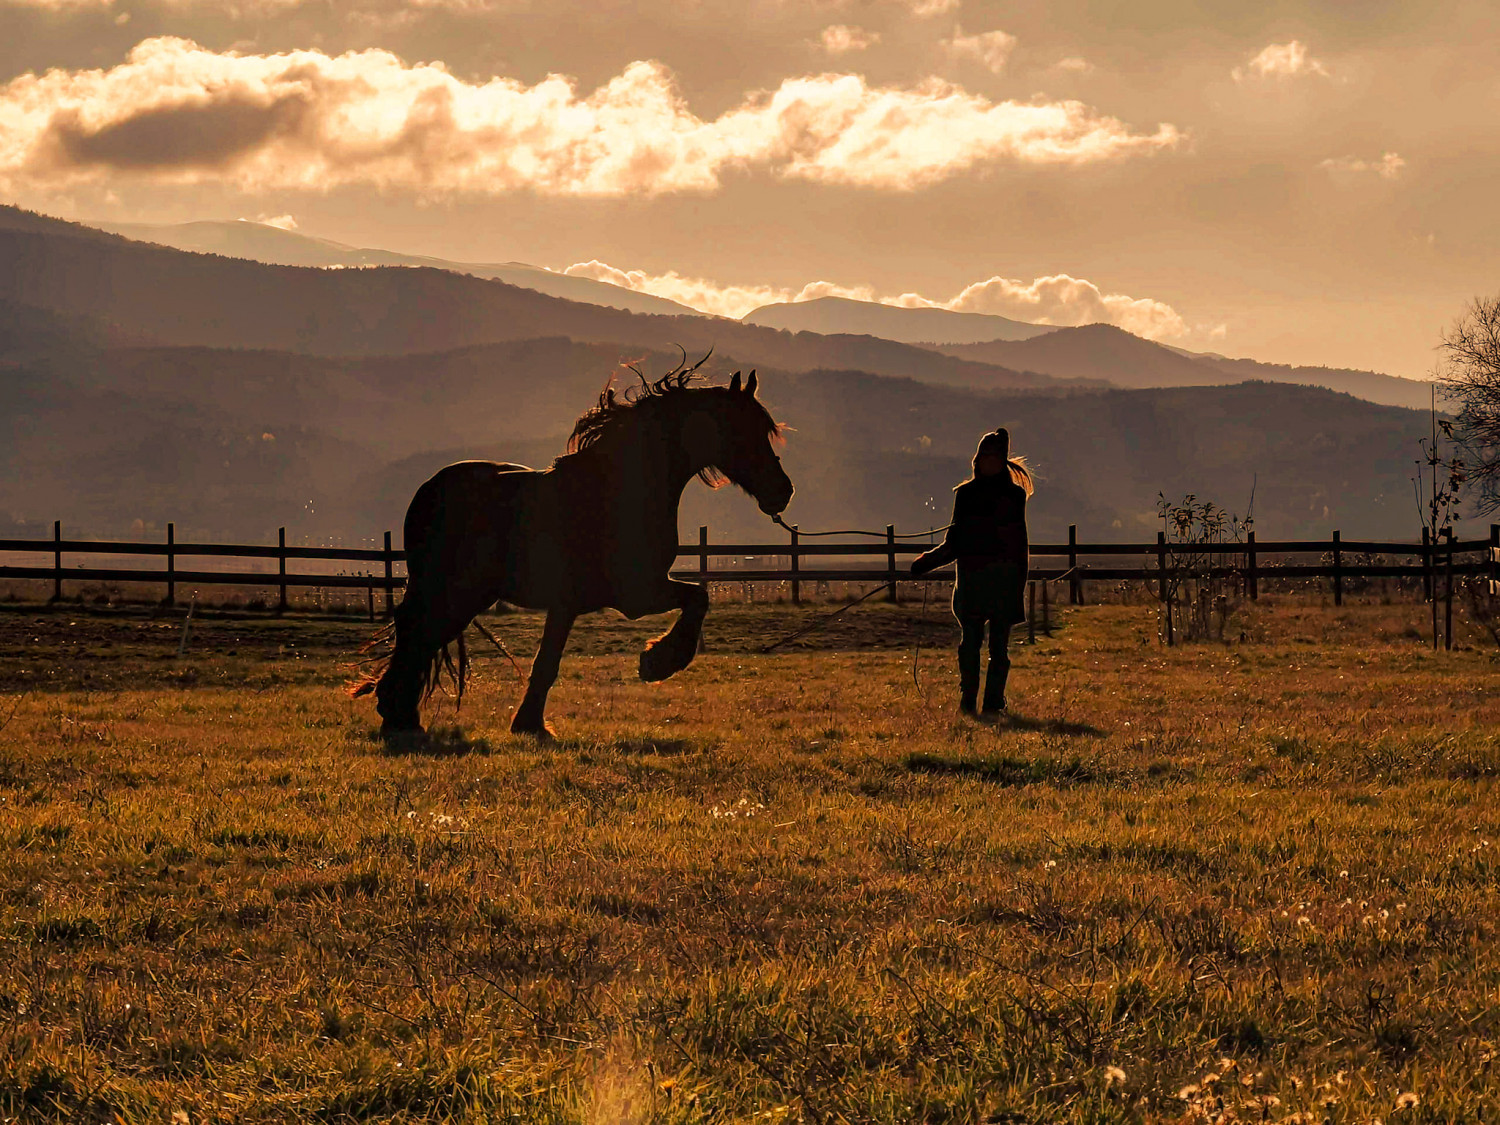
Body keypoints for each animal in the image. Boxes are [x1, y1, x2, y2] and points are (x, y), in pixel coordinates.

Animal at [352, 361, 798, 741]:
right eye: (743, 430)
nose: (782, 491)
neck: (618, 490)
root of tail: (428, 491)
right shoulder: (630, 595)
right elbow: (697, 598)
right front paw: (657, 662)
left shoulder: (594, 600)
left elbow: (549, 661)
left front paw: (531, 724)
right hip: (457, 592)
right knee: (418, 632)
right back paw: (399, 715)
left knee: (419, 634)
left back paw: (399, 713)